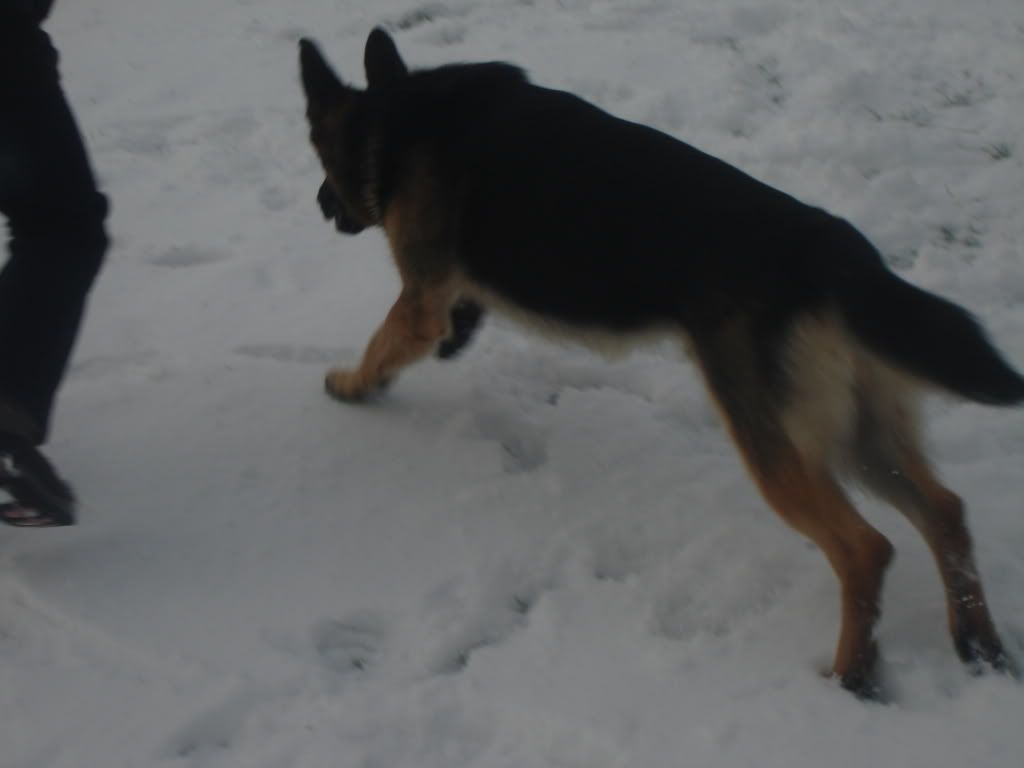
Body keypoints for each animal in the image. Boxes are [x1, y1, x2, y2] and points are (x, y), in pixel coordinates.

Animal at [299, 28, 1019, 696]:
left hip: (775, 443)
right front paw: (449, 342)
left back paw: (853, 675)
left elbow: (384, 340)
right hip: (863, 435)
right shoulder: (447, 291)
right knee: (945, 512)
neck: (394, 115)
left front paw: (354, 384)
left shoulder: (419, 294)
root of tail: (834, 251)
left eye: (321, 159)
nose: (321, 206)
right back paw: (978, 644)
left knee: (866, 547)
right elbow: (452, 319)